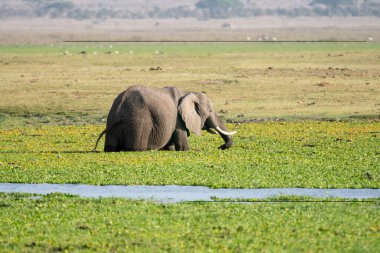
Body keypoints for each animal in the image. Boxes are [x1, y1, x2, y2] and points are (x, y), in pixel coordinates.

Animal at [93, 85, 235, 152]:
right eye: (210, 110)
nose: (219, 147)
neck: (188, 92)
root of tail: (120, 108)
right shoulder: (178, 120)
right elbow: (182, 146)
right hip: (138, 123)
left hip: (113, 124)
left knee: (111, 147)